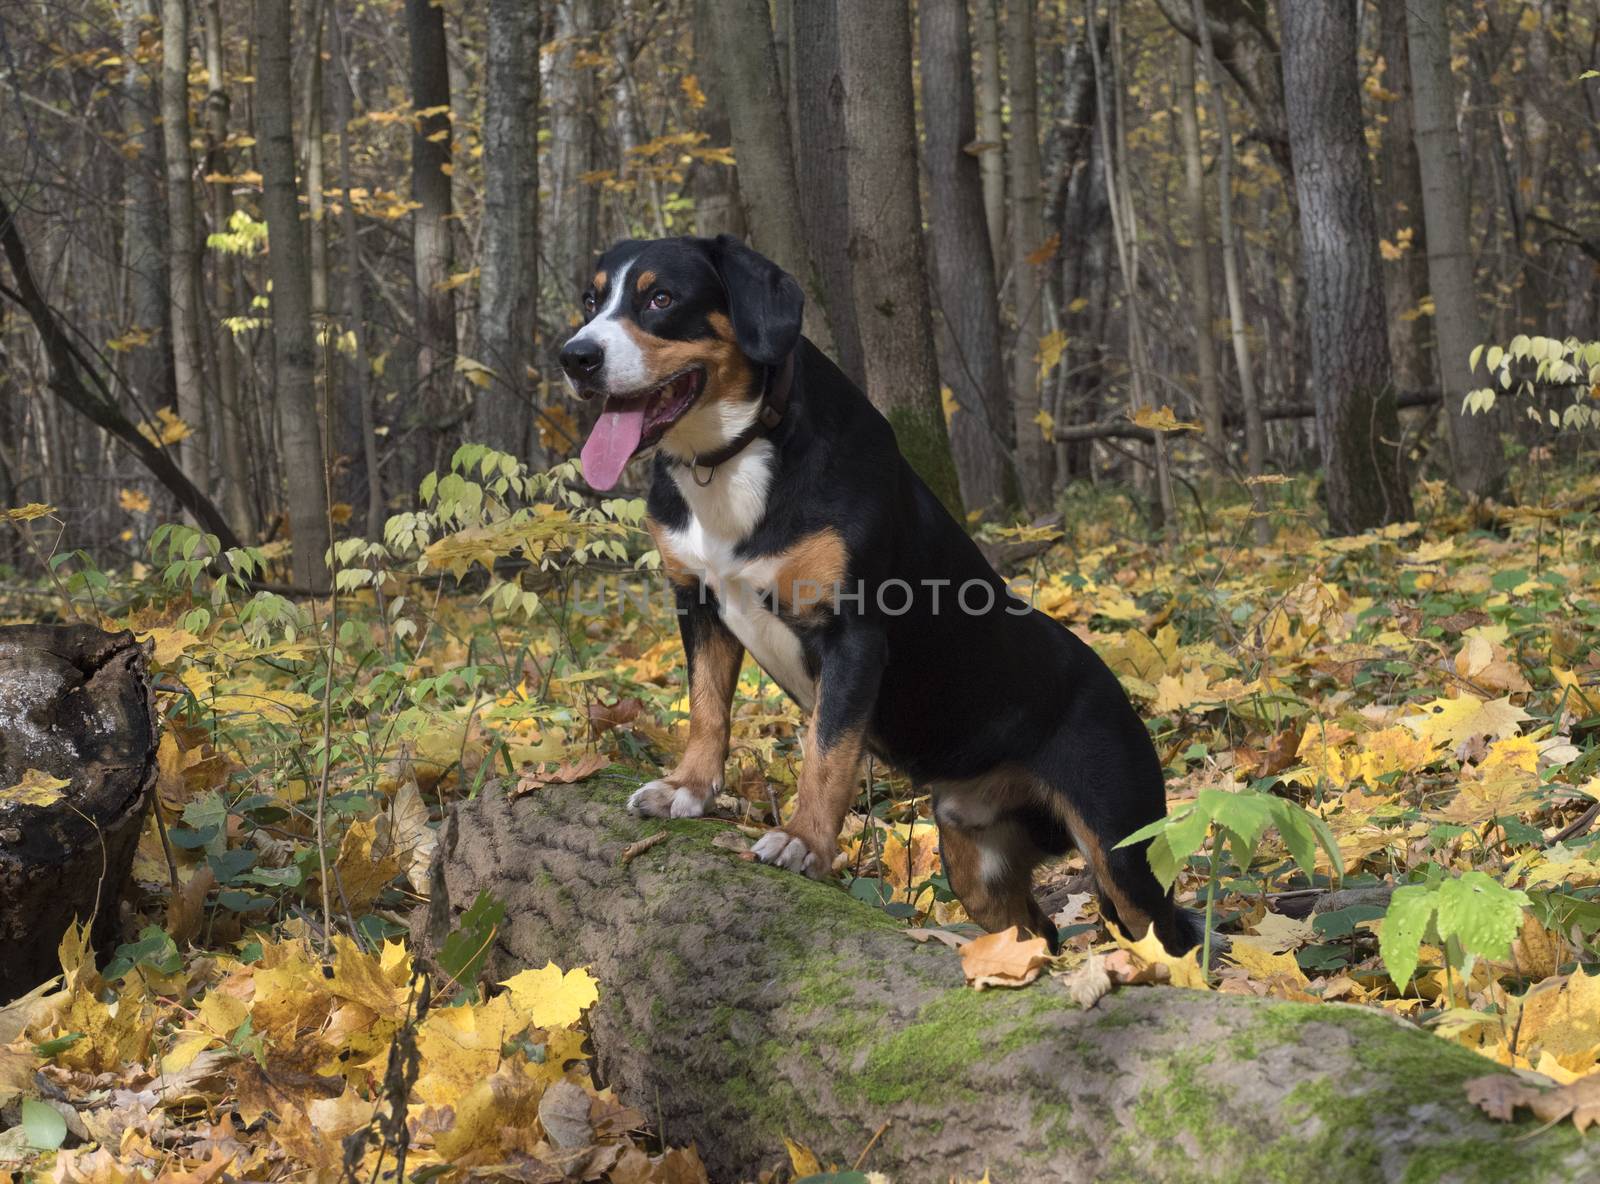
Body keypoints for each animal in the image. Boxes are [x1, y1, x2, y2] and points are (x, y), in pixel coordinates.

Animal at [563, 235, 1203, 960]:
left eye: (661, 298)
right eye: (589, 299)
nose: (575, 357)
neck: (734, 458)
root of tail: (1121, 695)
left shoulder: (855, 635)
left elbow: (827, 751)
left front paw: (804, 843)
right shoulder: (697, 603)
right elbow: (707, 709)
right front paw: (687, 790)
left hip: (1123, 850)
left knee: (1167, 938)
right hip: (976, 865)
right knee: (1030, 936)